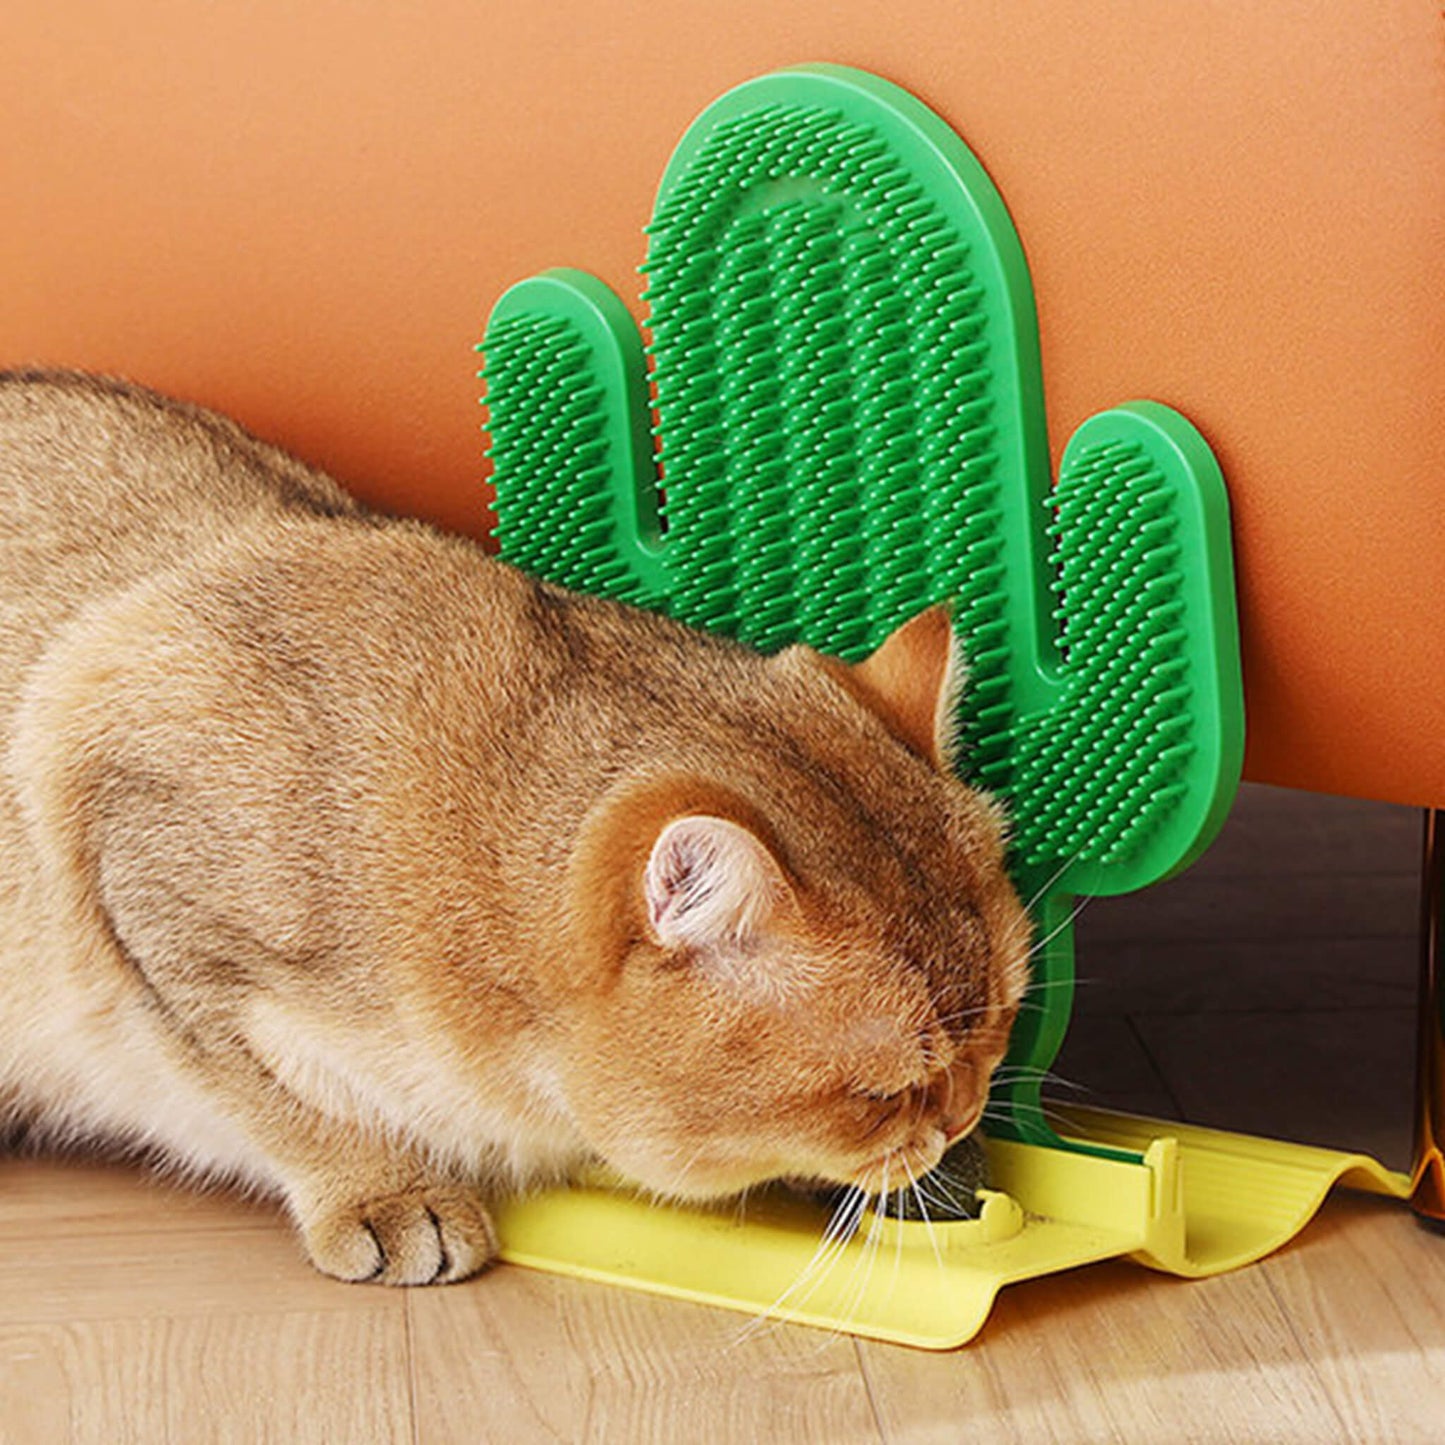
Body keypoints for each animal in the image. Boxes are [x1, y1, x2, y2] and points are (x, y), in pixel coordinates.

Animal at [2, 367, 1040, 1283]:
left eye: (1002, 1030)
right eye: (879, 1095)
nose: (959, 1117)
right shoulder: (129, 857)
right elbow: (283, 1101)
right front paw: (387, 1192)